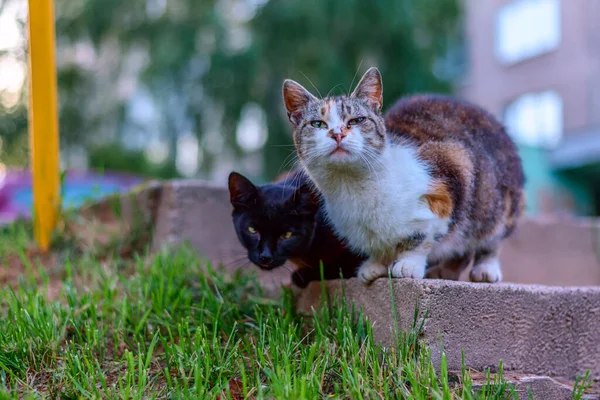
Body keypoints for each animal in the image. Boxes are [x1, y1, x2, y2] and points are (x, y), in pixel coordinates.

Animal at [284, 67, 524, 282]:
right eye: (317, 124)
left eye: (356, 120)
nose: (337, 134)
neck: (351, 186)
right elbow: (377, 246)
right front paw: (375, 265)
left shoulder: (450, 173)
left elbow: (422, 237)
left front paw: (408, 264)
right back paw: (445, 271)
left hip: (497, 203)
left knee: (488, 239)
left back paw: (485, 268)